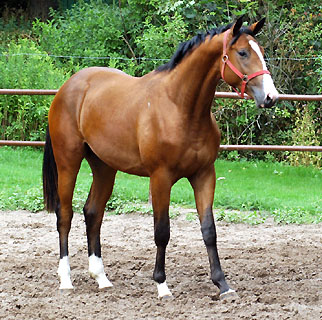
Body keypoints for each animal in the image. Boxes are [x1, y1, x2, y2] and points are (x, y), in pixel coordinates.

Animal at [42, 16, 278, 298]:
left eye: (261, 52)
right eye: (242, 52)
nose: (271, 97)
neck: (179, 107)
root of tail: (67, 87)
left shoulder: (204, 175)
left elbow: (209, 230)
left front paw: (223, 284)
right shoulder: (160, 178)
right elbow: (162, 231)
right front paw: (162, 284)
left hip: (104, 167)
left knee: (93, 213)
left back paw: (101, 278)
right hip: (68, 161)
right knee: (65, 215)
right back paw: (66, 279)